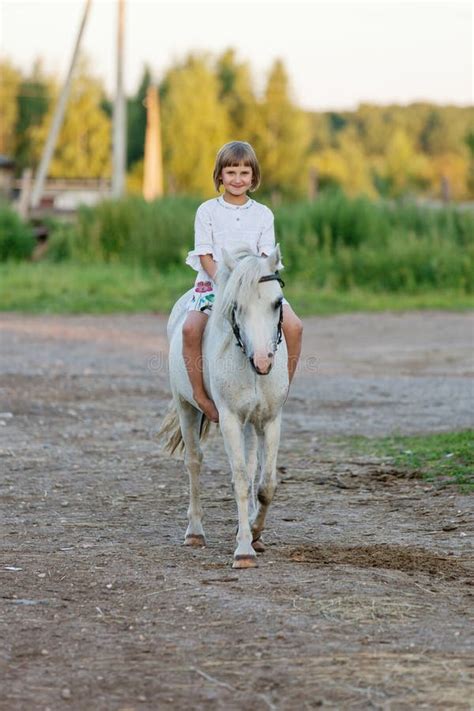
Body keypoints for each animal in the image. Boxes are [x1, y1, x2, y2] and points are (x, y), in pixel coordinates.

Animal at [158, 248, 288, 572]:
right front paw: (243, 551)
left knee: (252, 468)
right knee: (194, 462)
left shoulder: (270, 420)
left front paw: (254, 531)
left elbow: (266, 484)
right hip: (186, 407)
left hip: (251, 423)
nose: (263, 361)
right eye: (236, 306)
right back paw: (195, 533)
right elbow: (239, 480)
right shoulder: (229, 419)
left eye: (277, 302)